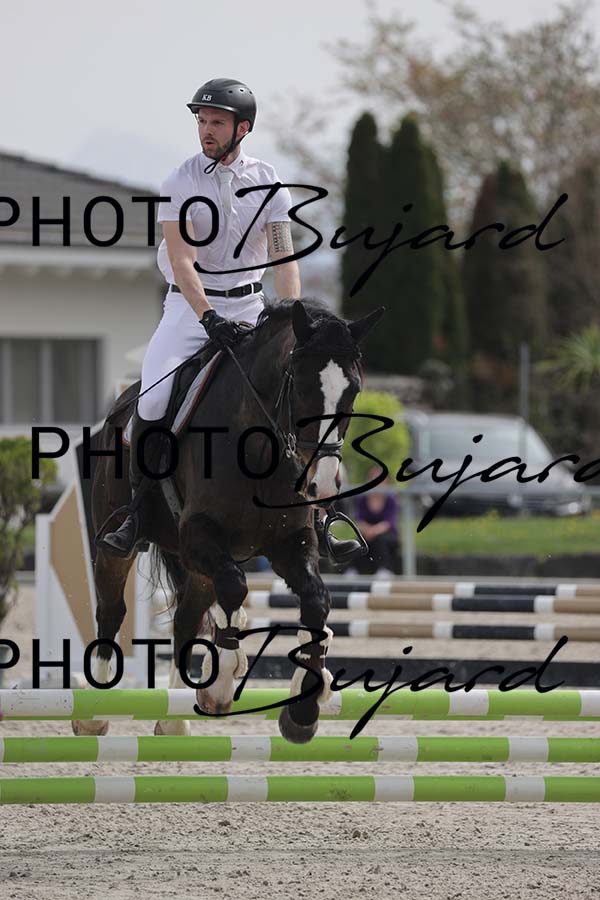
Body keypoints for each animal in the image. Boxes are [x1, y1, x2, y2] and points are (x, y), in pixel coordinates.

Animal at [76, 298, 384, 743]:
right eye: (301, 386)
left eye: (353, 391)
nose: (320, 486)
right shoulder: (197, 535)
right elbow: (236, 588)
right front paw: (220, 684)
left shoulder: (291, 542)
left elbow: (315, 600)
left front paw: (303, 710)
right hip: (120, 547)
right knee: (112, 610)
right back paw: (93, 713)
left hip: (199, 567)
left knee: (186, 619)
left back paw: (173, 720)